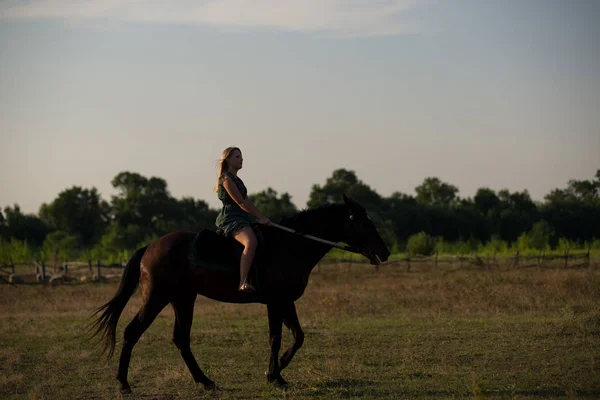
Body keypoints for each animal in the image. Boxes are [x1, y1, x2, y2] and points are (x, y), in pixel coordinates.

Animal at [89, 195, 390, 392]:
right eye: (362, 222)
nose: (385, 252)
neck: (291, 246)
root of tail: (150, 247)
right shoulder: (276, 302)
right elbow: (276, 338)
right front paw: (275, 376)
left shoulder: (285, 302)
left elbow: (298, 336)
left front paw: (276, 371)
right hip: (157, 297)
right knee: (132, 332)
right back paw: (124, 384)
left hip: (183, 298)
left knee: (181, 339)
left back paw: (206, 382)